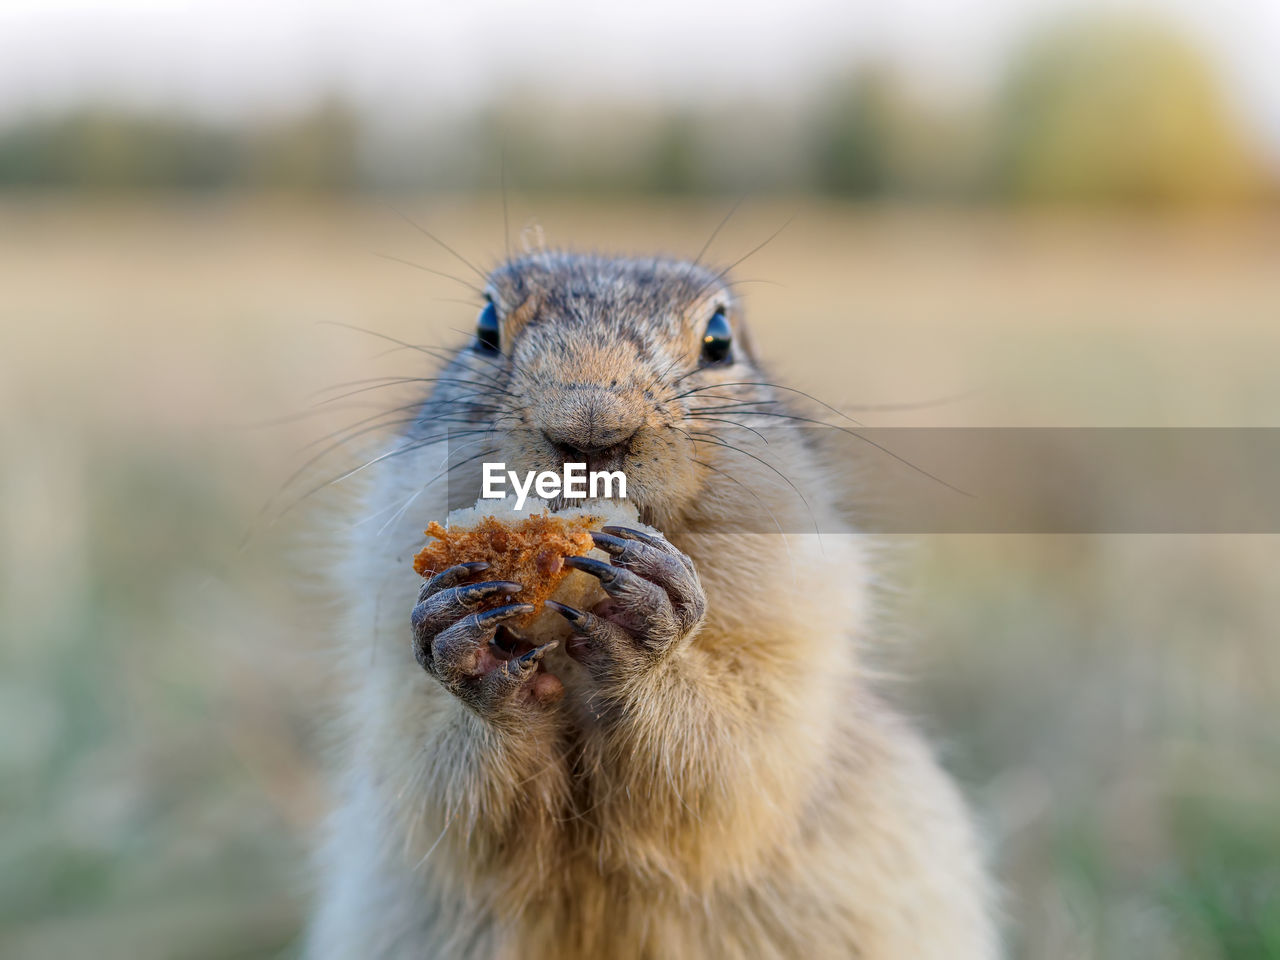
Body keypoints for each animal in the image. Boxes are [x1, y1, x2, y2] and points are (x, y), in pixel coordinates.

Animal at [302, 252, 998, 957]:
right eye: (486, 326)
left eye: (720, 337)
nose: (588, 426)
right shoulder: (386, 659)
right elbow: (438, 790)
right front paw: (463, 637)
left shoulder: (798, 630)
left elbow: (737, 757)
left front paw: (647, 628)